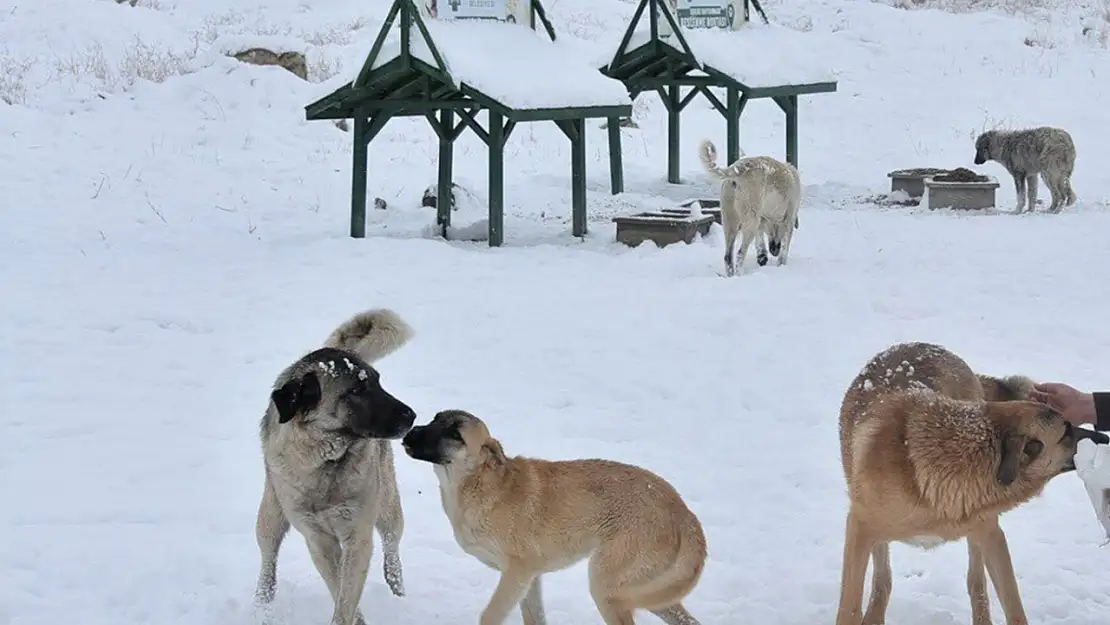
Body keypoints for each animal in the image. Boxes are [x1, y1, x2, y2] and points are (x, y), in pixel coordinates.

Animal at [254, 308, 417, 625]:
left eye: (378, 382)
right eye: (356, 389)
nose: (411, 416)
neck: (325, 461)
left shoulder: (358, 534)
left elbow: (346, 597)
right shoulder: (318, 540)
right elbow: (338, 586)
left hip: (388, 506)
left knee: (392, 545)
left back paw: (398, 594)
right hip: (270, 511)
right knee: (268, 555)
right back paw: (261, 605)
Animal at [697, 142, 803, 278]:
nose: (774, 251)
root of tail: (736, 170)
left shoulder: (761, 220)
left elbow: (761, 240)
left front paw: (762, 257)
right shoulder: (788, 220)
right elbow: (784, 250)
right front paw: (781, 264)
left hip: (729, 223)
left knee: (728, 257)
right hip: (749, 224)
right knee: (740, 254)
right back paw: (740, 275)